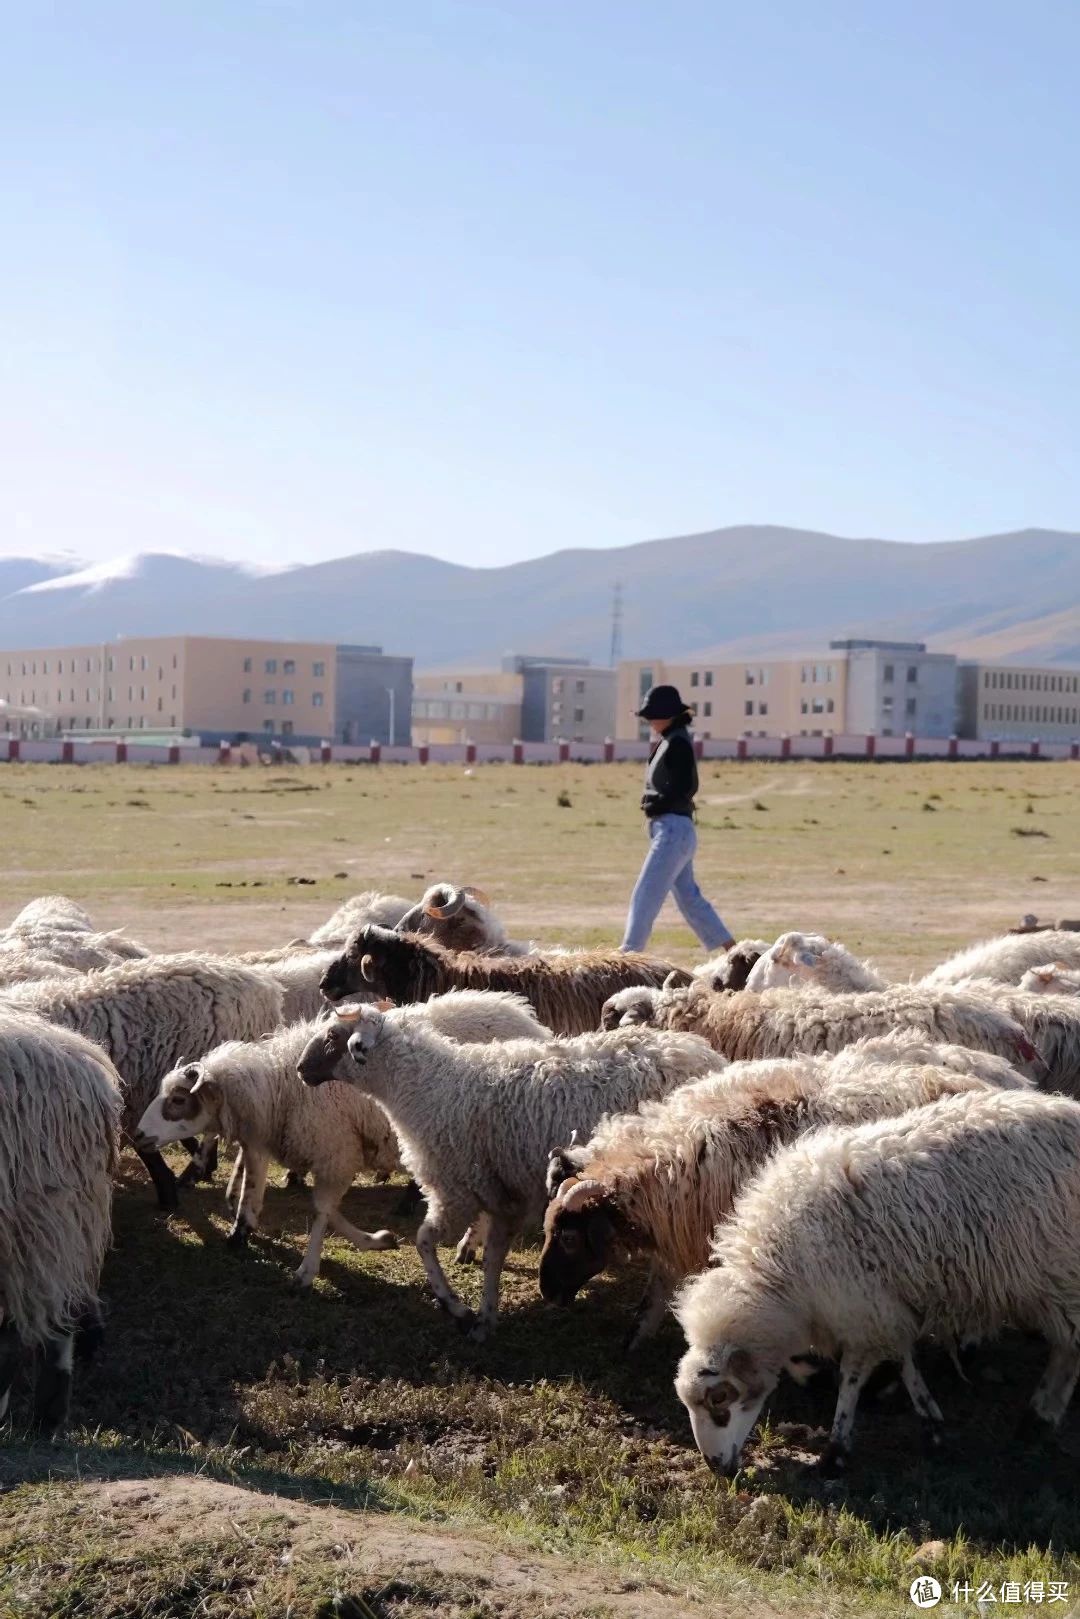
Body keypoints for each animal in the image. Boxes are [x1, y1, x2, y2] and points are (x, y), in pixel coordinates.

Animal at [540, 1042, 1029, 1347]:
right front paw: (635, 1337)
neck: (677, 1159)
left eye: (569, 1238)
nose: (547, 1291)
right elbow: (655, 1289)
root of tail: (999, 1077)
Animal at [676, 1087, 1080, 1483]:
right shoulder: (882, 1305)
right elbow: (904, 1360)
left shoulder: (860, 1307)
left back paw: (1038, 1418)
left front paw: (835, 1452)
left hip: (1061, 1278)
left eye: (719, 1398)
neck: (780, 1281)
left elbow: (852, 1377)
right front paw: (931, 1423)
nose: (715, 1466)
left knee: (1067, 1353)